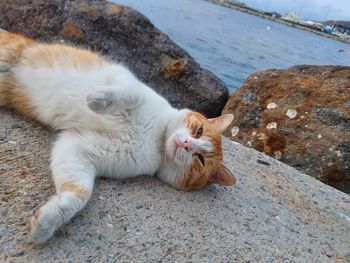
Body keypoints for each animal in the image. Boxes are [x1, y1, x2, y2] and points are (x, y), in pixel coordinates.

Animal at [0, 31, 237, 245]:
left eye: (200, 160)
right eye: (198, 131)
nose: (187, 144)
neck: (156, 139)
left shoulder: (78, 147)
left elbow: (80, 192)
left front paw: (48, 222)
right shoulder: (127, 82)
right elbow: (126, 93)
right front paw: (98, 100)